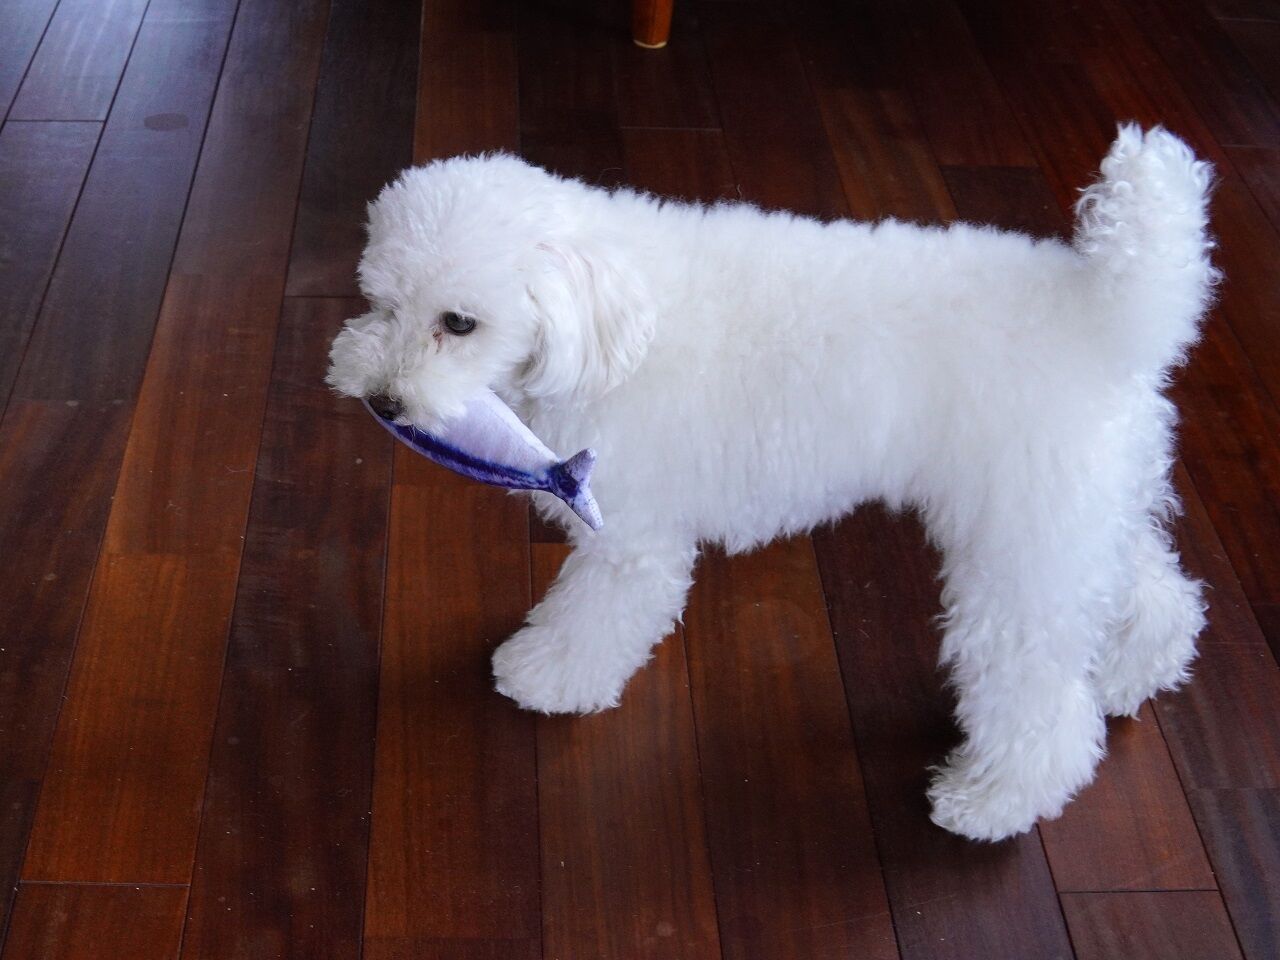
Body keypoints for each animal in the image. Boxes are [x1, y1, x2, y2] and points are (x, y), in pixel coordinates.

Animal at [327, 125, 1218, 841]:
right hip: (1071, 523)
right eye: (381, 303)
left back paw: (992, 802)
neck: (613, 312)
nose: (384, 402)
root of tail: (1107, 319)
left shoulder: (634, 540)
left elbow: (593, 618)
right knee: (1155, 593)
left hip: (1019, 557)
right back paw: (1133, 674)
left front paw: (545, 674)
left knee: (1040, 703)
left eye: (459, 323)